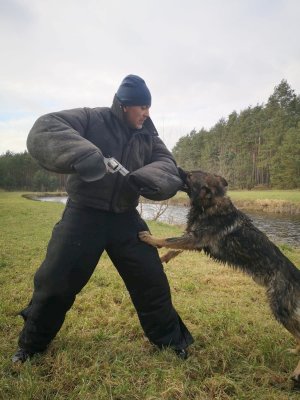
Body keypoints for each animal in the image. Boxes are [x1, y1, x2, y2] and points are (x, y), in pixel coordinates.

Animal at [139, 169, 300, 384]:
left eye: (190, 176)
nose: (179, 168)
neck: (209, 203)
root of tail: (296, 276)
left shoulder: (195, 239)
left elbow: (168, 239)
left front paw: (150, 239)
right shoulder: (194, 240)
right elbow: (174, 249)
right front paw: (163, 257)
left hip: (281, 309)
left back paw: (297, 372)